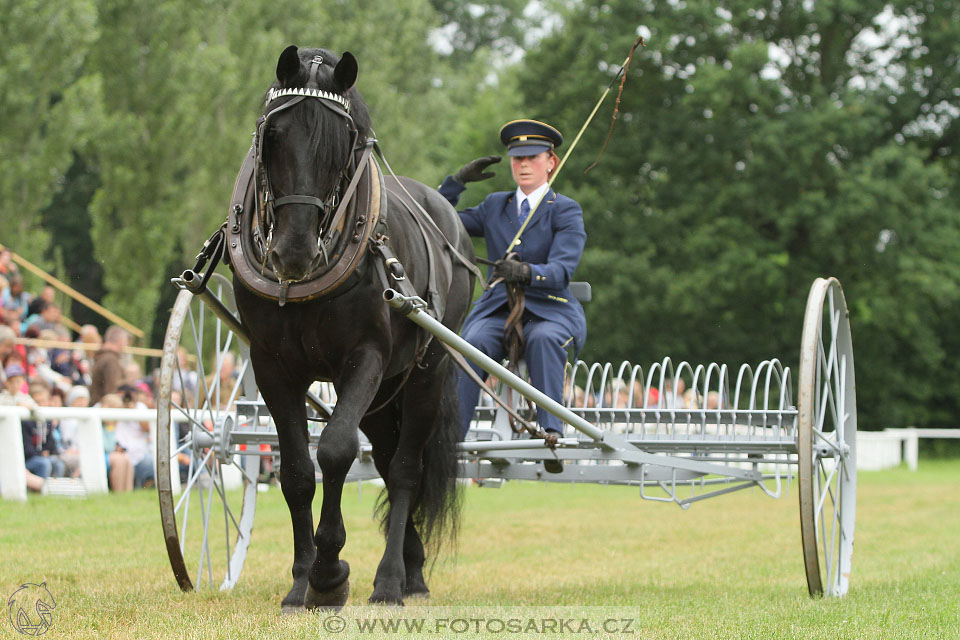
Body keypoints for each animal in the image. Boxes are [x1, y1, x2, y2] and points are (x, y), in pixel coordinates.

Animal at [230, 45, 476, 608]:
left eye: (342, 145)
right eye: (273, 136)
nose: (293, 252)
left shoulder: (365, 357)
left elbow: (336, 450)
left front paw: (330, 573)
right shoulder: (272, 365)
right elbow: (297, 472)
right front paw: (302, 580)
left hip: (425, 371)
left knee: (405, 468)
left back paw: (390, 581)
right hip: (386, 392)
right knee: (385, 457)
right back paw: (412, 567)